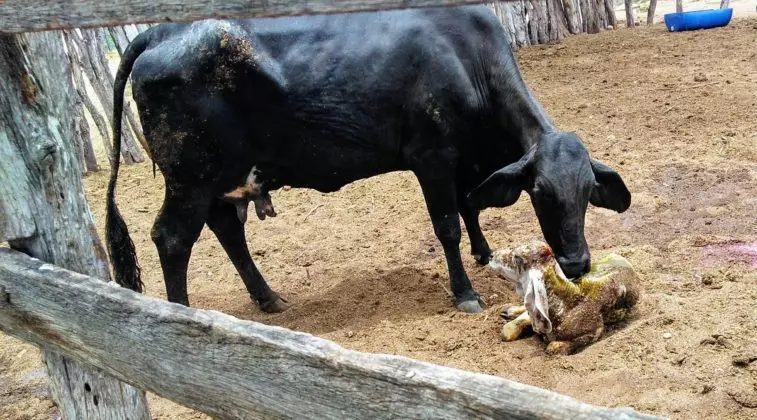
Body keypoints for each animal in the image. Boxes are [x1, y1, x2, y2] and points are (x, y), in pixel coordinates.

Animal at [106, 5, 631, 314]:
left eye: (588, 191)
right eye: (540, 192)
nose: (577, 262)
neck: (467, 58)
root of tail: (158, 33)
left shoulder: (462, 160)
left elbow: (470, 205)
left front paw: (483, 254)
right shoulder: (432, 156)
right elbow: (447, 224)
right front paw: (465, 293)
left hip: (222, 178)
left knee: (226, 230)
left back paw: (270, 299)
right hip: (189, 179)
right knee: (173, 238)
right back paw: (181, 316)